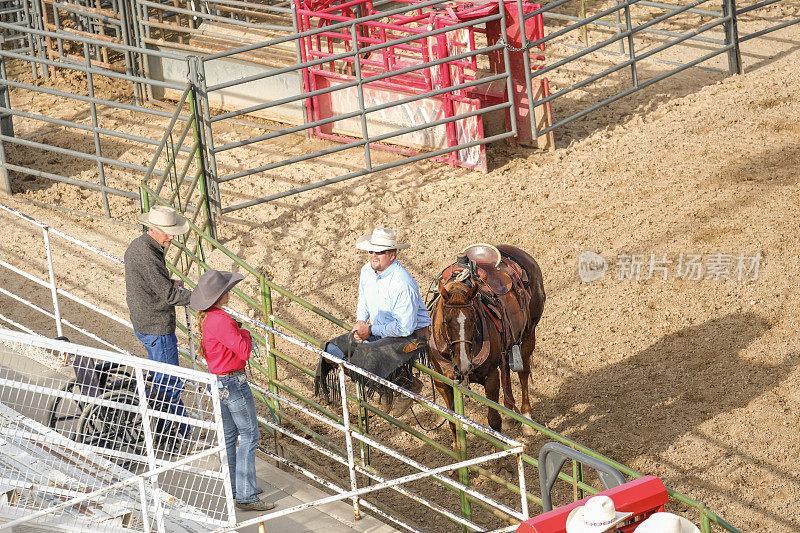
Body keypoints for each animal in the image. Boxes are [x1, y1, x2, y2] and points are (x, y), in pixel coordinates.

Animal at [428, 242, 548, 444]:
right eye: (445, 321)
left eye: (474, 319)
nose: (463, 365)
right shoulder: (442, 382)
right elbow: (453, 422)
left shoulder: (490, 378)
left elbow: (493, 421)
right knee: (506, 368)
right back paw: (509, 413)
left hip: (529, 333)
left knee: (523, 372)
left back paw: (526, 418)